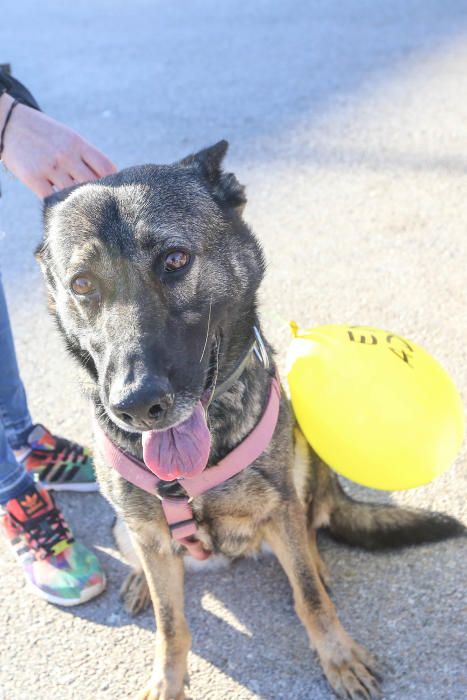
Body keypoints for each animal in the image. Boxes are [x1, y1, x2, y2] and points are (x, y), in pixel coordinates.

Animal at [38, 142, 466, 700]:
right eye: (82, 284)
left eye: (175, 260)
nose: (136, 404)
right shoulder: (151, 536)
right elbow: (171, 624)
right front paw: (166, 680)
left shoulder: (279, 508)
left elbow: (309, 597)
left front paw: (339, 658)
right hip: (125, 524)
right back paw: (138, 581)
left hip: (303, 464)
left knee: (310, 528)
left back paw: (316, 560)